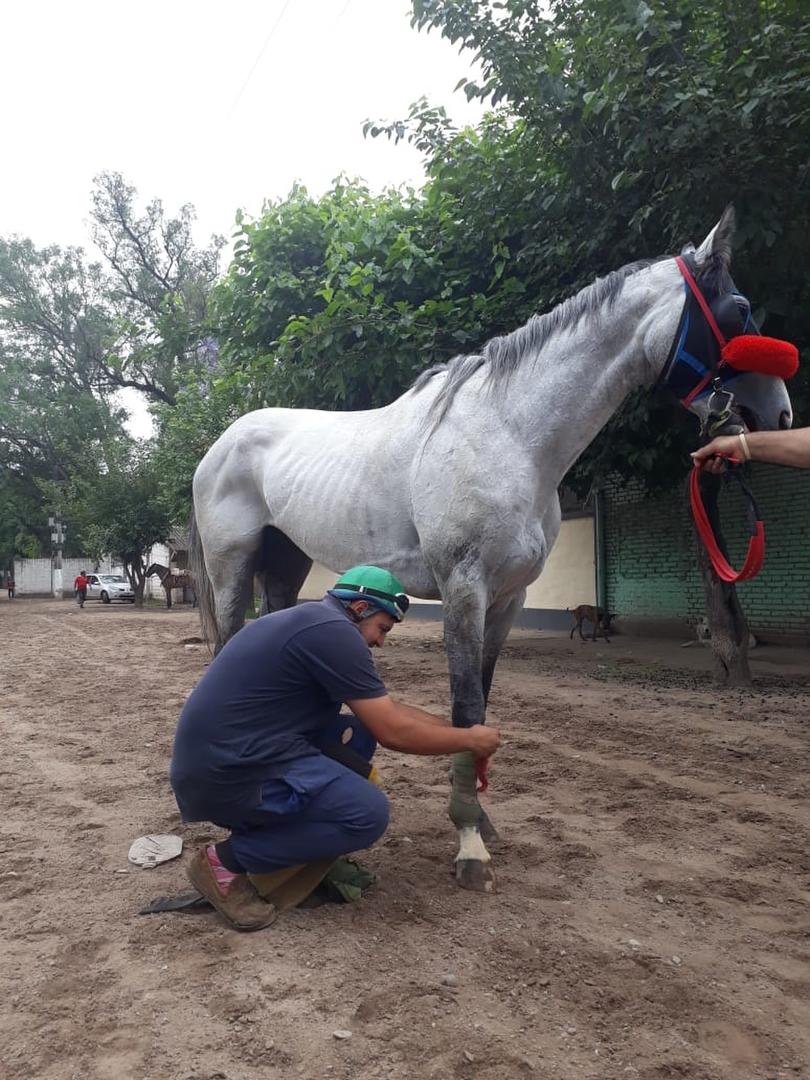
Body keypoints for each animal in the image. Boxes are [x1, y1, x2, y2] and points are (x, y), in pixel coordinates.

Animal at [189, 212, 794, 894]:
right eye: (739, 308)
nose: (779, 414)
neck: (510, 434)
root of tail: (222, 442)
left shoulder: (509, 598)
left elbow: (482, 701)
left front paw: (482, 821)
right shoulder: (464, 589)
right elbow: (464, 705)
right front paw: (469, 844)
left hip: (286, 567)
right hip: (233, 566)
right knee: (229, 640)